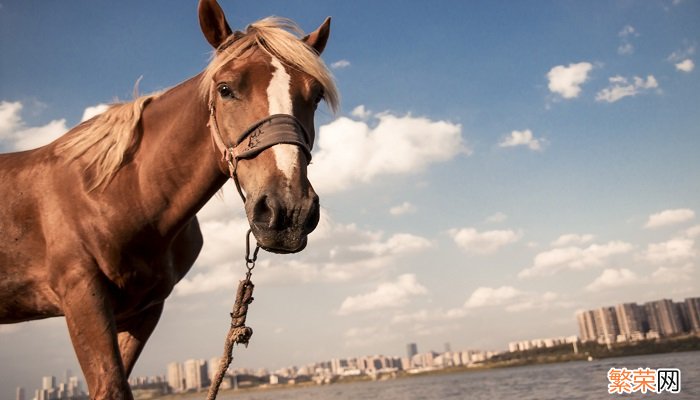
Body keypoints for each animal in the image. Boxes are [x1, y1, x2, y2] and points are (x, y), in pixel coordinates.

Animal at [0, 1, 340, 398]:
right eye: (225, 89)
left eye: (315, 96)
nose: (288, 211)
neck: (119, 193)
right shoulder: (82, 295)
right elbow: (111, 386)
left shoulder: (143, 310)